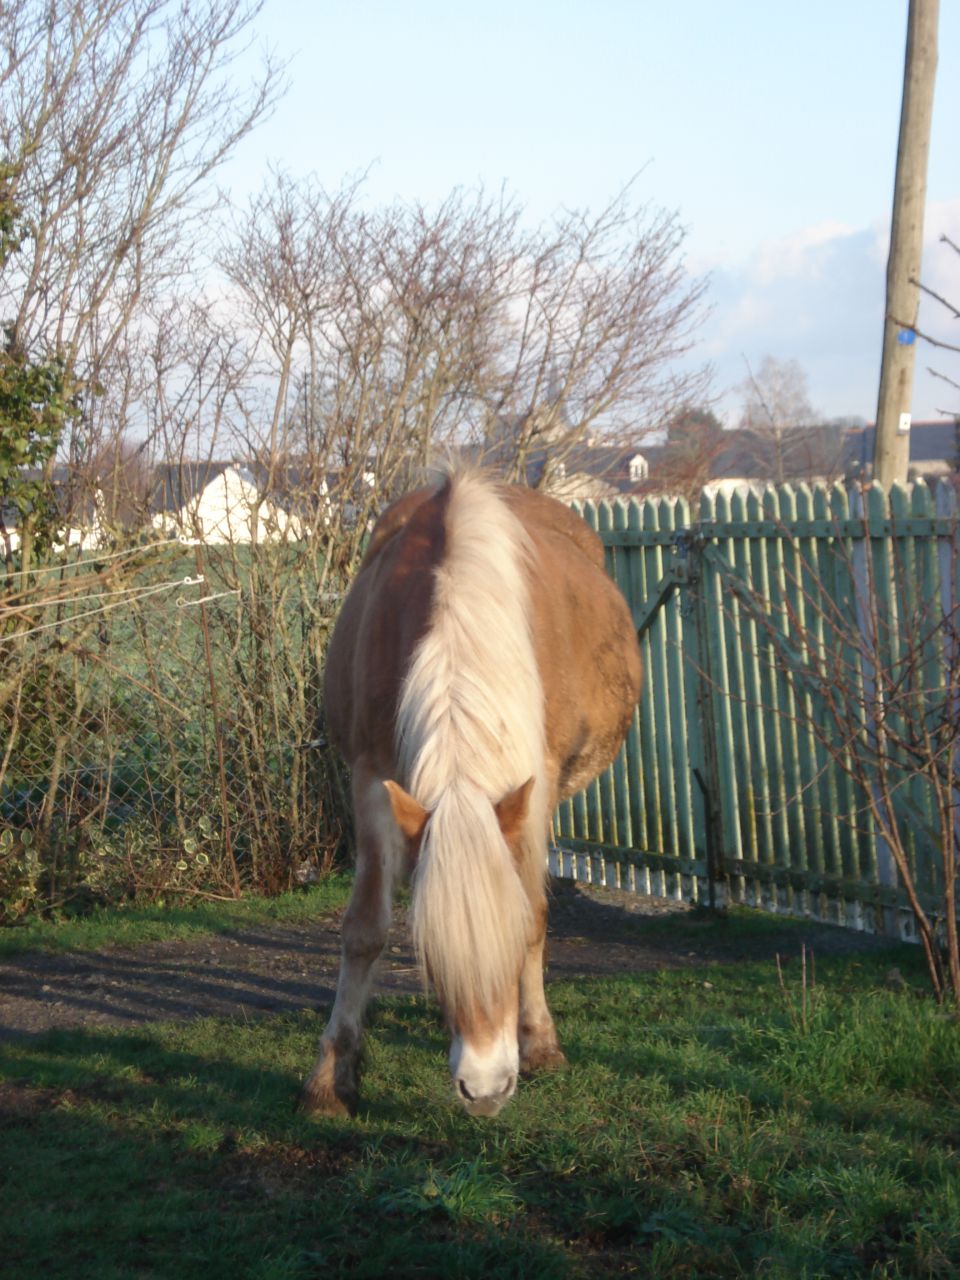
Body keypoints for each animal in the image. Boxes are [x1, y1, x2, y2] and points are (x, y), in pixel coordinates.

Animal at [300, 468, 641, 1118]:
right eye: (432, 959)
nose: (485, 1090)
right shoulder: (371, 778)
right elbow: (365, 929)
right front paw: (332, 1076)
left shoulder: (536, 783)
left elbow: (533, 915)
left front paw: (539, 1042)